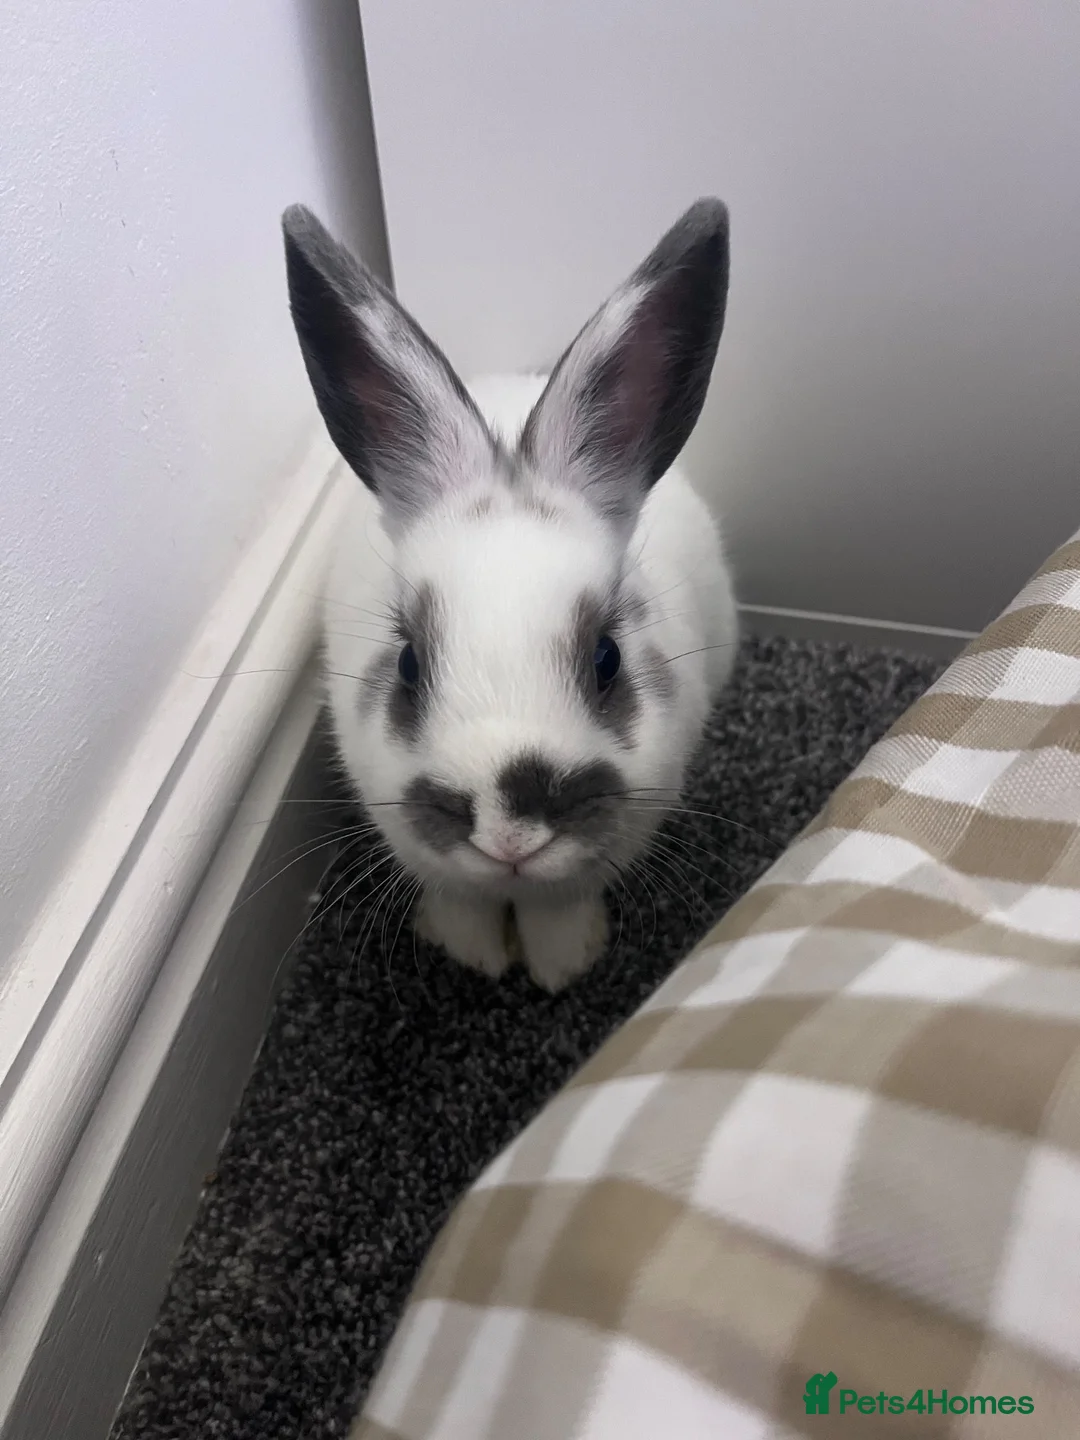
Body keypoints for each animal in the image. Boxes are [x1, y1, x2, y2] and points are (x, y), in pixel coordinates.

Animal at [281, 198, 738, 992]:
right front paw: (473, 955)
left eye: (607, 659)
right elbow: (459, 898)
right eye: (408, 664)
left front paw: (564, 965)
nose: (509, 829)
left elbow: (562, 905)